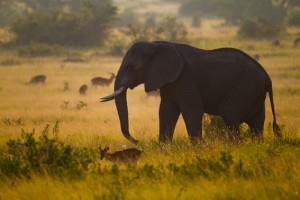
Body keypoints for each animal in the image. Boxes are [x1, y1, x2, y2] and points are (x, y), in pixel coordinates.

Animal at [101, 41, 282, 144]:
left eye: (134, 67)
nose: (137, 141)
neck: (157, 44)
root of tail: (266, 76)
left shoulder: (185, 78)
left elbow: (192, 110)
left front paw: (199, 148)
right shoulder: (170, 81)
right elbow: (166, 110)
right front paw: (164, 147)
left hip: (243, 89)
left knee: (232, 119)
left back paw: (236, 145)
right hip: (255, 93)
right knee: (256, 123)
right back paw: (255, 145)